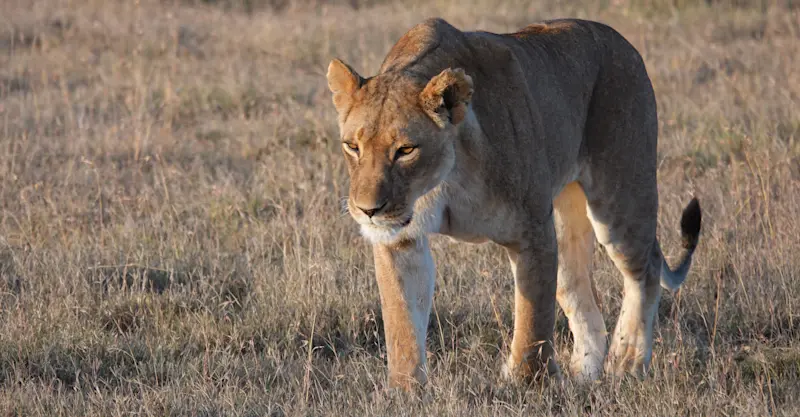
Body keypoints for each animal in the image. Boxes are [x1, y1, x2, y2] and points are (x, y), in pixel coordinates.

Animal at [326, 17, 702, 390]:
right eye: (352, 146)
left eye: (405, 150)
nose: (368, 210)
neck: (445, 174)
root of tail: (623, 43)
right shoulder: (401, 241)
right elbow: (401, 325)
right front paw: (405, 392)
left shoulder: (532, 232)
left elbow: (532, 324)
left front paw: (527, 386)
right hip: (564, 226)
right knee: (581, 293)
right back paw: (584, 376)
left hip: (620, 197)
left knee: (646, 268)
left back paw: (627, 363)